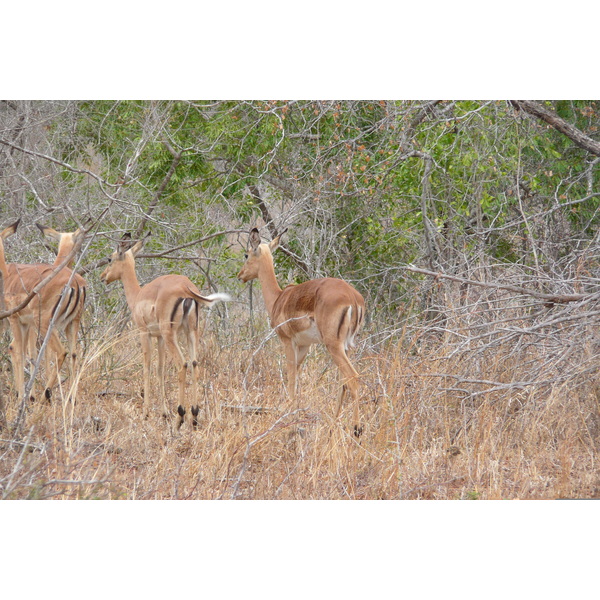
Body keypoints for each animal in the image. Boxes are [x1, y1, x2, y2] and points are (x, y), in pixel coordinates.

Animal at [98, 236, 230, 432]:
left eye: (109, 259)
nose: (102, 277)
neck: (138, 296)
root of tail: (186, 287)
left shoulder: (144, 333)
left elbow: (147, 367)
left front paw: (146, 413)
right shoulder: (158, 337)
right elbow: (160, 369)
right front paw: (164, 412)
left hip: (171, 335)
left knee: (182, 364)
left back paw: (180, 418)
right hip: (191, 332)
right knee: (194, 364)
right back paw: (194, 417)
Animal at [239, 227, 366, 434]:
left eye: (246, 254)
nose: (240, 275)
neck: (278, 298)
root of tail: (353, 298)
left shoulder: (288, 341)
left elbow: (291, 378)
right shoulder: (305, 345)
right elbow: (297, 377)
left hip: (334, 345)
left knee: (353, 378)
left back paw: (356, 429)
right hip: (347, 346)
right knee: (343, 383)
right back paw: (332, 425)